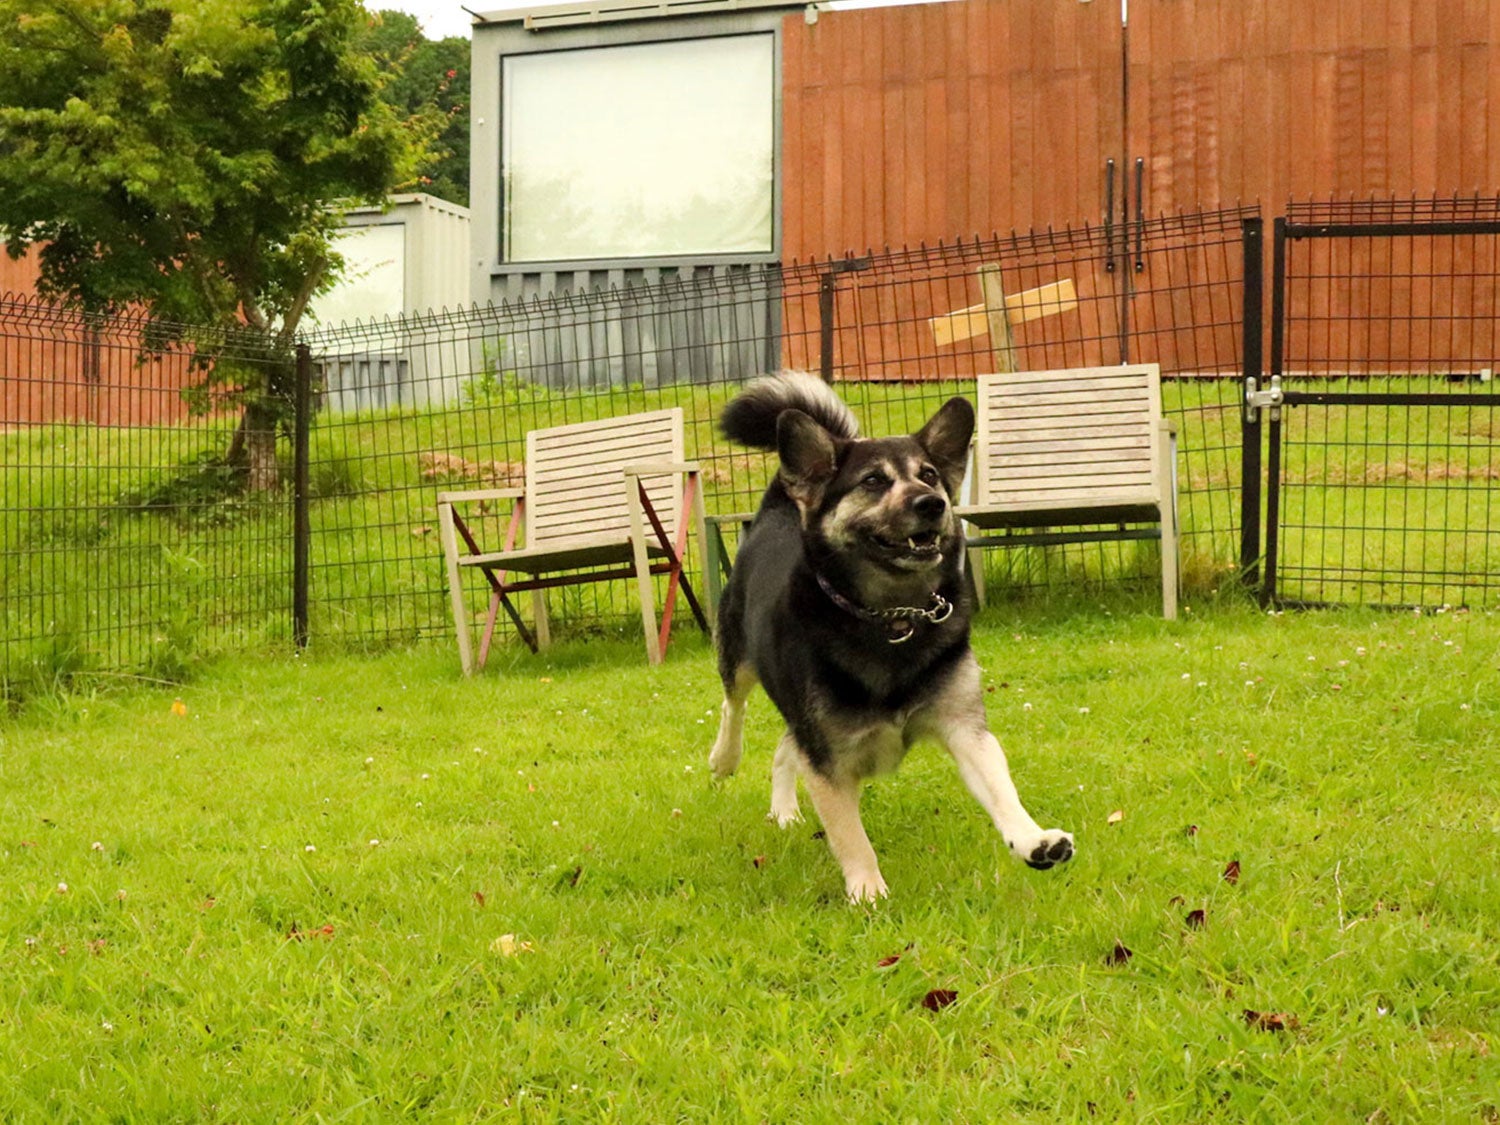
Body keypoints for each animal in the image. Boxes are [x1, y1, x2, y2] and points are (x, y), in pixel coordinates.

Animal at [708, 375, 1074, 906]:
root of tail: (781, 504)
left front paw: (1033, 840)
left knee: (783, 745)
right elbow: (849, 834)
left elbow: (1002, 790)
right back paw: (724, 759)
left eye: (930, 475)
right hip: (739, 658)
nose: (932, 503)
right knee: (732, 705)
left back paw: (785, 811)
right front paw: (867, 889)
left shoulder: (965, 729)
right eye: (873, 481)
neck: (891, 617)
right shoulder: (828, 759)